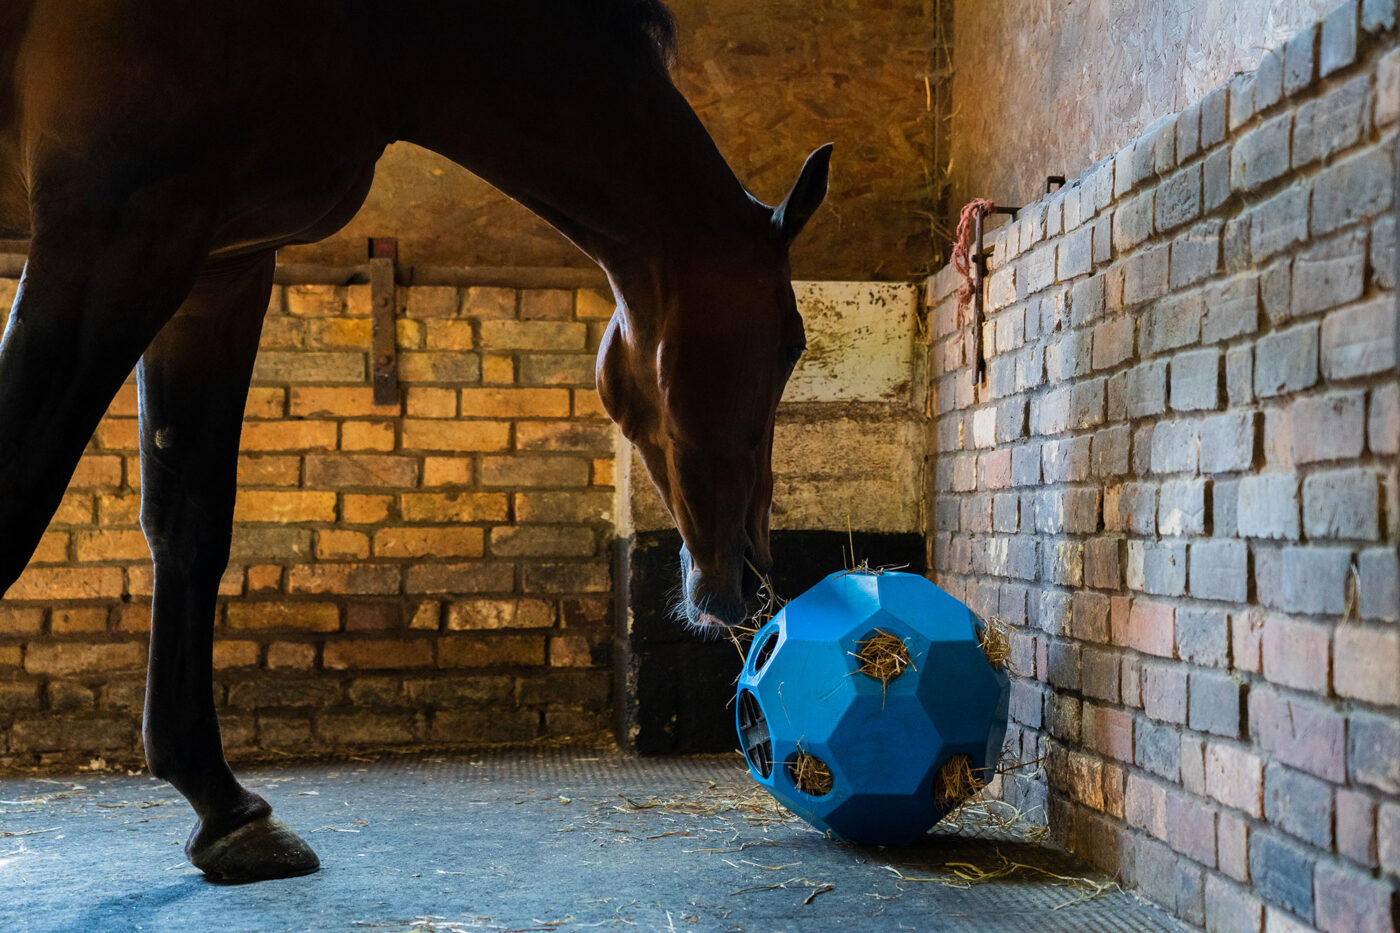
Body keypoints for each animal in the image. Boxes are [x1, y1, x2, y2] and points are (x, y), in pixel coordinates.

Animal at [0, 0, 829, 882]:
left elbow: (188, 523)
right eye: (792, 342)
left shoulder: (220, 262)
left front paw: (225, 810)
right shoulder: (115, 229)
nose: (753, 579)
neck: (376, 35)